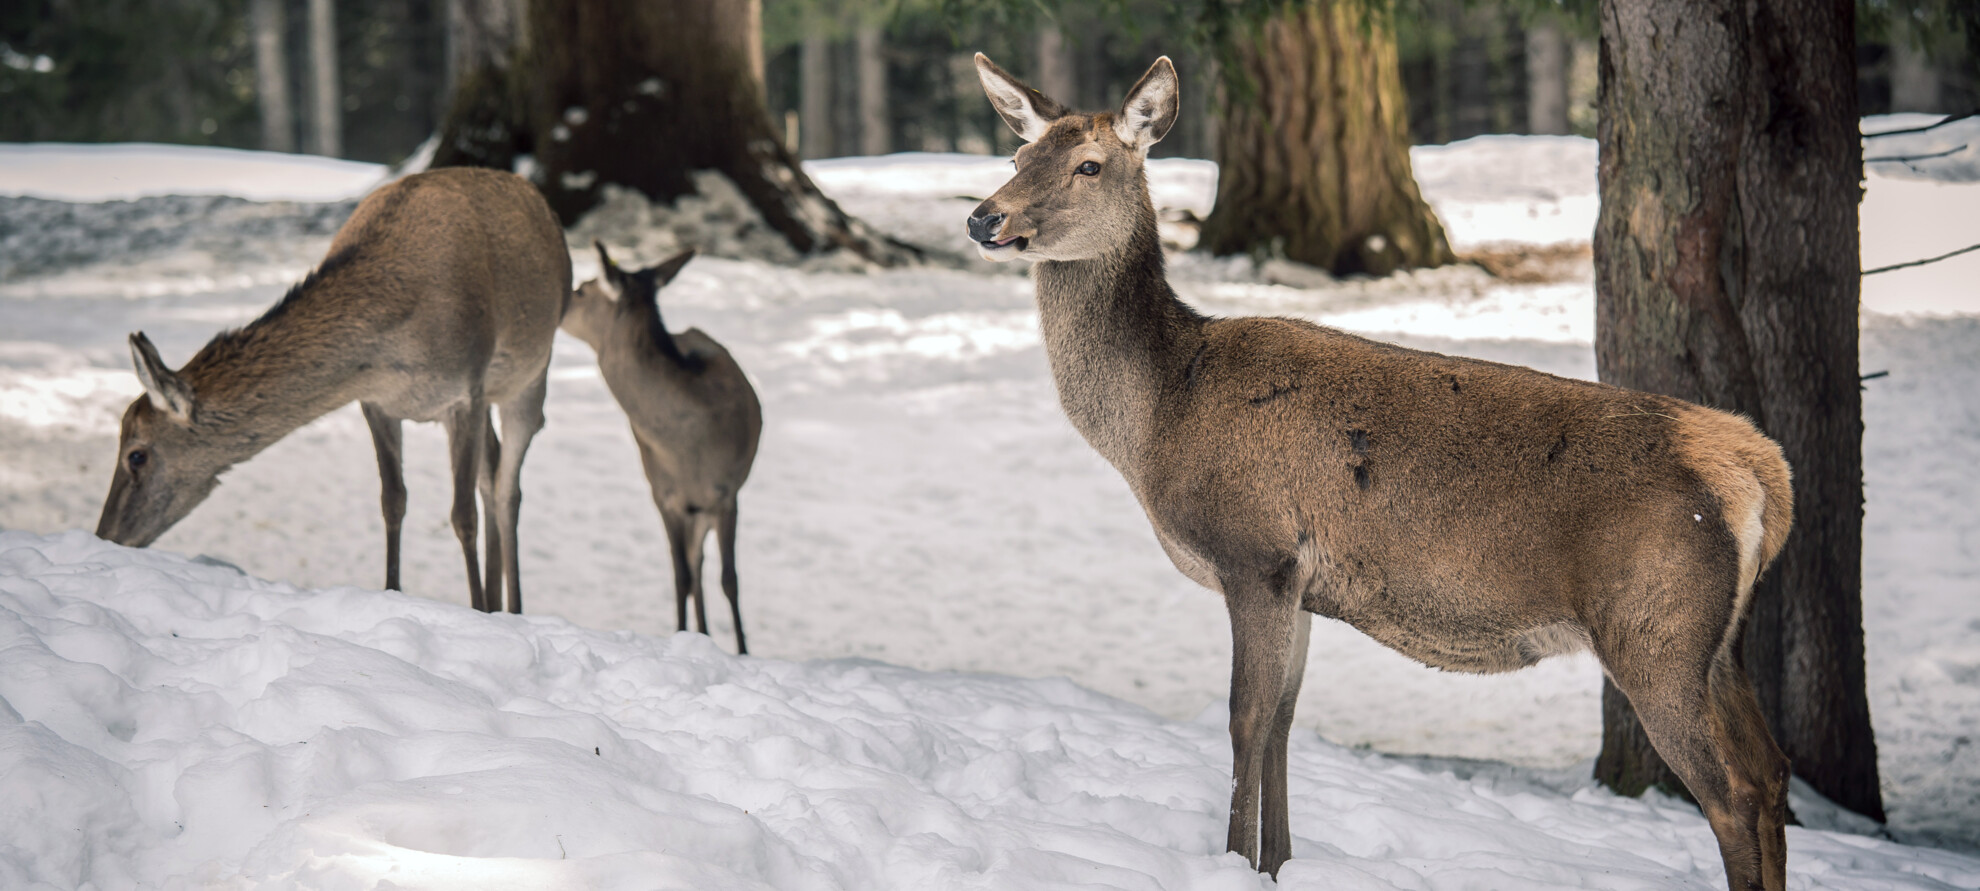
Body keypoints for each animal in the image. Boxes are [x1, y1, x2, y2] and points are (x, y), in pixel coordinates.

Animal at [95, 165, 570, 613]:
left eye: (136, 455)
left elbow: (463, 515)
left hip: (529, 374)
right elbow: (392, 501)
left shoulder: (465, 394)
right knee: (492, 470)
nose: (106, 535)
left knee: (507, 487)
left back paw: (510, 608)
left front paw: (475, 608)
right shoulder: (377, 402)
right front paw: (393, 589)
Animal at [570, 243, 768, 653]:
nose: (563, 298)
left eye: (582, 289)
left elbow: (730, 579)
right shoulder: (663, 495)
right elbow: (681, 577)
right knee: (694, 566)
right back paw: (701, 634)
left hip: (705, 509)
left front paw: (743, 651)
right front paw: (682, 636)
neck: (686, 449)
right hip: (688, 509)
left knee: (703, 564)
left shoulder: (726, 494)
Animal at [970, 55, 1797, 891]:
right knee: (1772, 771)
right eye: (1018, 155)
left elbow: (1244, 721)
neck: (1158, 417)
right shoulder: (1299, 579)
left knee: (1730, 791)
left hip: (1655, 626)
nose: (983, 218)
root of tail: (1763, 472)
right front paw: (1279, 864)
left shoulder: (1254, 551)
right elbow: (1283, 722)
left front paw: (1235, 861)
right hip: (1718, 642)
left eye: (1089, 164)